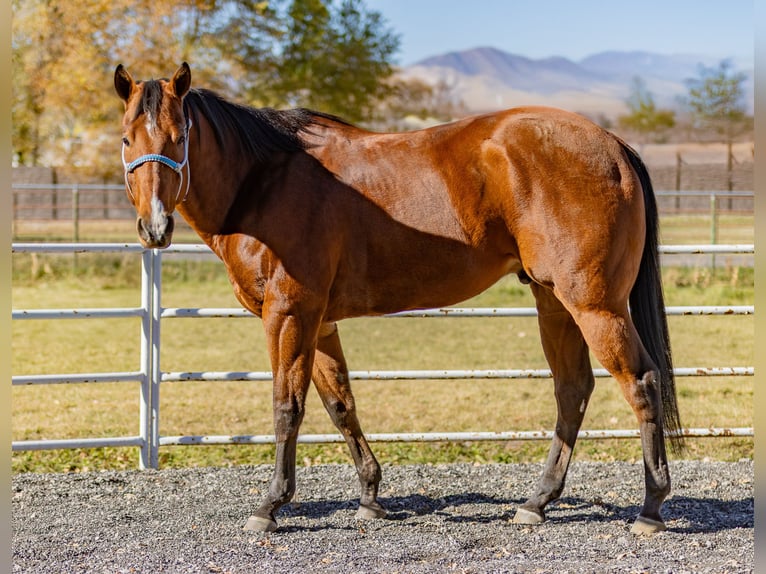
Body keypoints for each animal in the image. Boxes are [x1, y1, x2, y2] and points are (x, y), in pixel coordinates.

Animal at [114, 62, 683, 535]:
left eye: (180, 135)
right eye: (126, 138)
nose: (154, 227)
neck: (262, 182)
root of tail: (612, 144)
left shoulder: (289, 314)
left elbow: (287, 406)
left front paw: (271, 505)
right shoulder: (321, 322)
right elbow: (340, 404)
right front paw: (369, 496)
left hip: (594, 305)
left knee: (641, 383)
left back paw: (651, 508)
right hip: (553, 302)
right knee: (572, 390)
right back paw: (536, 502)